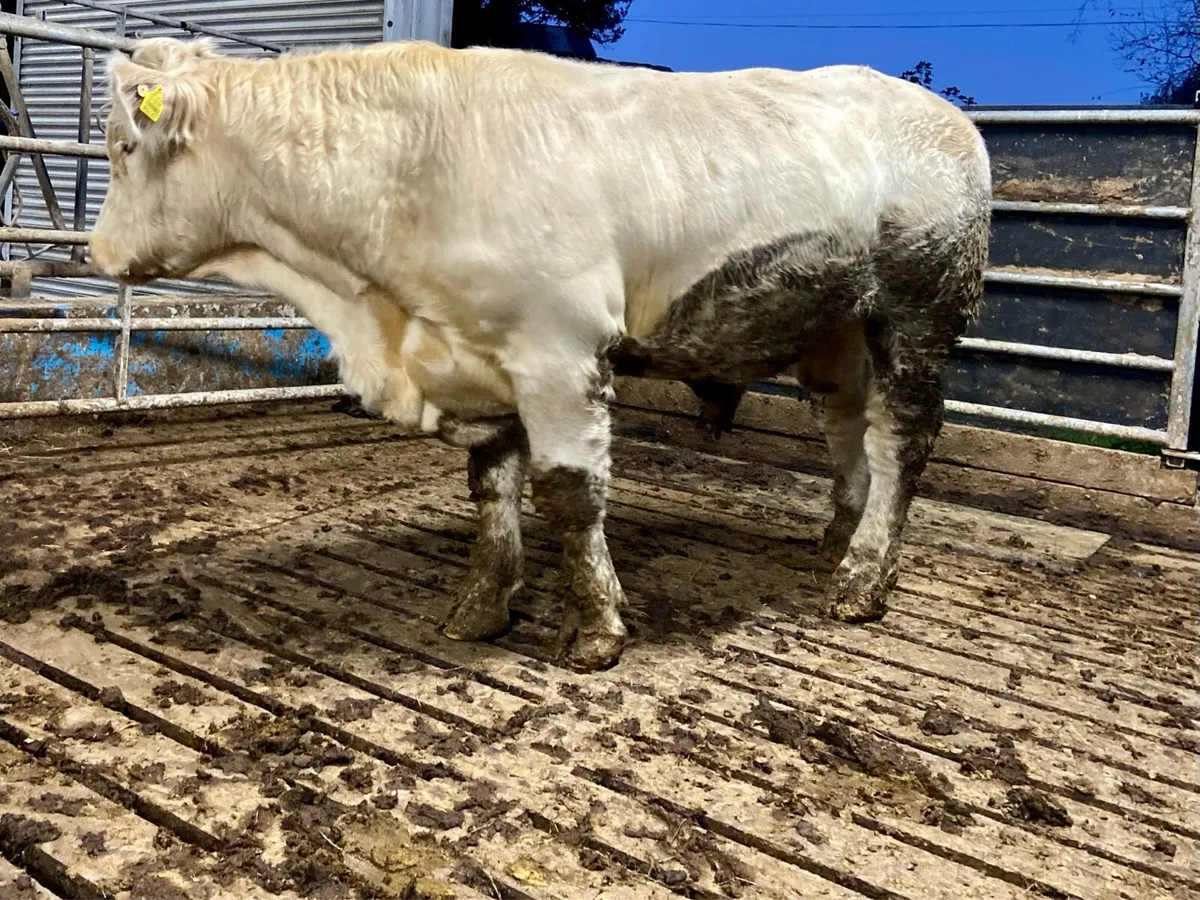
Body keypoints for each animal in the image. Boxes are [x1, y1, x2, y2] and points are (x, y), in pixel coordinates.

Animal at [89, 36, 991, 672]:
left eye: (122, 148)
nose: (97, 253)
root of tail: (942, 114)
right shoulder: (476, 356)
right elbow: (493, 490)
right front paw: (480, 608)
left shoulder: (558, 354)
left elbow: (569, 495)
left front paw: (595, 628)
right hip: (837, 326)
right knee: (844, 425)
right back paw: (840, 540)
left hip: (921, 312)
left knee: (900, 439)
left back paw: (861, 581)